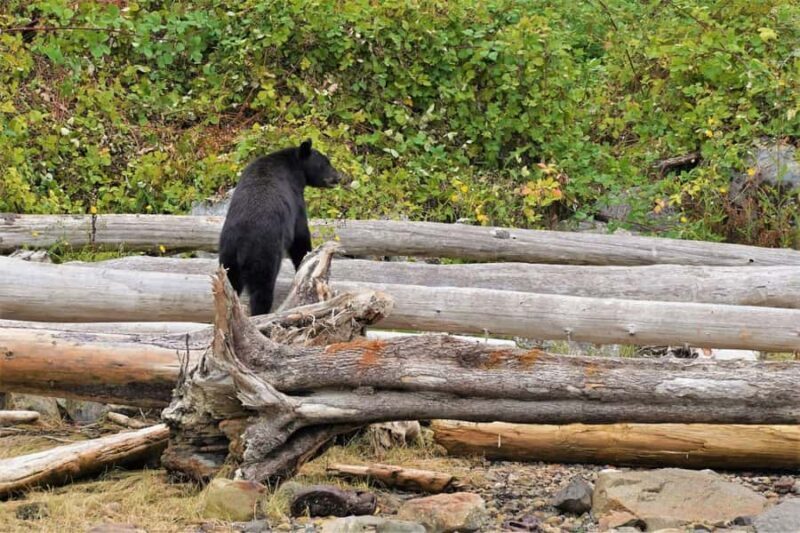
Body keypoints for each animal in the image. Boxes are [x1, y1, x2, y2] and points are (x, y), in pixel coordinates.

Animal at [219, 139, 343, 316]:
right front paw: (305, 262)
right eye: (325, 162)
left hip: (228, 254)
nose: (338, 177)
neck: (294, 166)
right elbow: (300, 235)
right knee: (262, 290)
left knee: (231, 284)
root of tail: (242, 244)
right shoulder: (295, 199)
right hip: (264, 253)